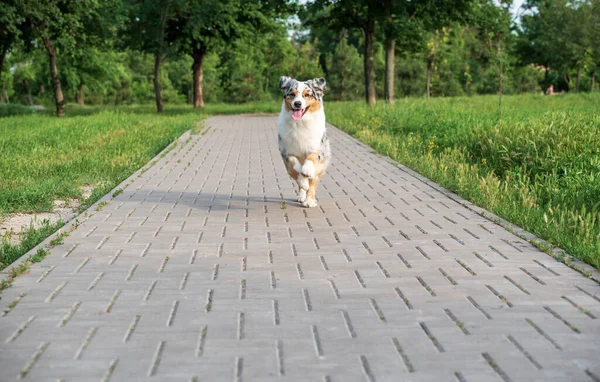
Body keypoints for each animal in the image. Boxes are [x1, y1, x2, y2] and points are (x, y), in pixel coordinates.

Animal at [278, 76, 330, 207]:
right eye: (292, 94)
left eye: (307, 95)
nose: (297, 103)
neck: (300, 123)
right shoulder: (286, 152)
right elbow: (295, 166)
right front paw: (303, 181)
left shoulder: (317, 148)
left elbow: (310, 158)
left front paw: (306, 170)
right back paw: (302, 195)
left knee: (313, 183)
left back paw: (309, 201)